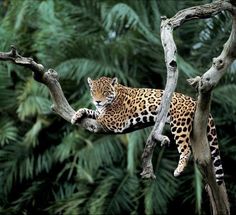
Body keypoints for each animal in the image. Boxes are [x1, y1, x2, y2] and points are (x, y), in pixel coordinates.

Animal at [71, 76, 224, 185]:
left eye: (105, 92)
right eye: (93, 92)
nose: (97, 101)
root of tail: (194, 101)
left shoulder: (114, 120)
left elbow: (100, 115)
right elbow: (92, 111)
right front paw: (77, 114)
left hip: (179, 124)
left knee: (186, 149)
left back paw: (179, 169)